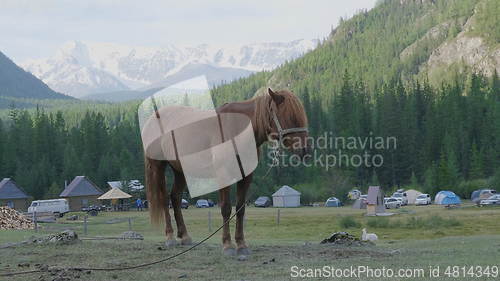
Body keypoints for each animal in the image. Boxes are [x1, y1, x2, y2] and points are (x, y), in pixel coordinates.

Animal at [145, 88, 308, 255]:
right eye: (290, 117)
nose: (305, 150)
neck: (236, 129)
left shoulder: (246, 177)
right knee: (164, 199)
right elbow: (226, 208)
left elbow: (240, 209)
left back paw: (184, 236)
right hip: (158, 166)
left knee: (176, 198)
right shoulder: (223, 175)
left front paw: (241, 245)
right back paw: (170, 237)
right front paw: (228, 245)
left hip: (180, 171)